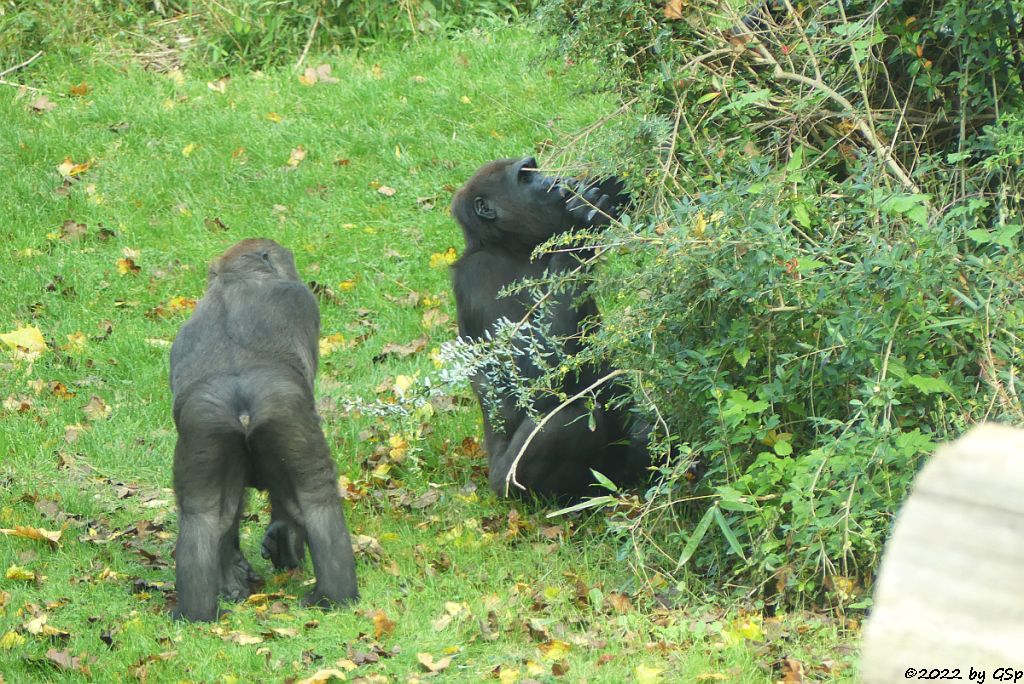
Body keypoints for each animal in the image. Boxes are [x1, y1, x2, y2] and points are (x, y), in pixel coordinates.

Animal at [169, 239, 358, 618]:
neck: (234, 278)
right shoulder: (302, 300)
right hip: (284, 412)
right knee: (318, 500)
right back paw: (336, 598)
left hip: (204, 424)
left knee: (201, 516)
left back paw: (196, 615)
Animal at [452, 158, 651, 501]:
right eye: (525, 177)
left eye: (533, 169)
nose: (554, 181)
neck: (507, 245)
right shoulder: (478, 276)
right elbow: (537, 377)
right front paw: (577, 228)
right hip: (506, 487)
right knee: (568, 420)